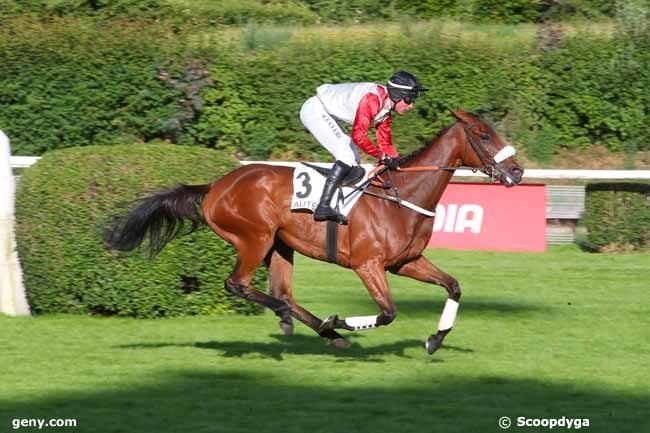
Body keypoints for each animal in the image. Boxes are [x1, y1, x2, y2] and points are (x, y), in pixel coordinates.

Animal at [105, 109, 520, 352]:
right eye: (483, 135)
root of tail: (215, 187)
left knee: (282, 292)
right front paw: (338, 320)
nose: (517, 172)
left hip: (279, 245)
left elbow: (453, 286)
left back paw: (320, 330)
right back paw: (314, 323)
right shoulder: (368, 265)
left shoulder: (407, 262)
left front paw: (435, 339)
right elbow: (388, 313)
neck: (402, 198)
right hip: (254, 238)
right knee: (241, 285)